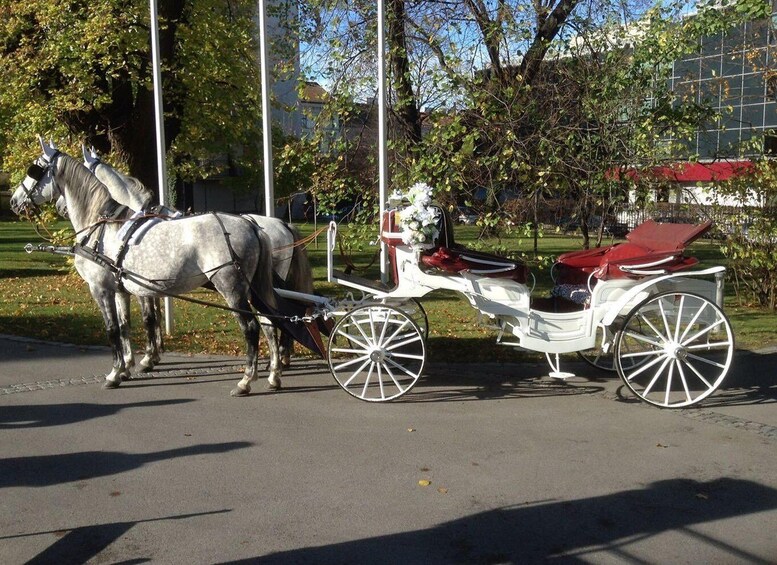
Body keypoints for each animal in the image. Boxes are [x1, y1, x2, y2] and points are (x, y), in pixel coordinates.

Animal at [9, 139, 292, 394]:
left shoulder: (102, 289)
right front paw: (129, 367)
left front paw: (117, 373)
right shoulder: (125, 288)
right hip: (253, 289)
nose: (13, 200)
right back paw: (274, 375)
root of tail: (251, 225)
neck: (101, 224)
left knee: (252, 328)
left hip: (231, 288)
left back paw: (246, 380)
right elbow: (127, 325)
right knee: (270, 323)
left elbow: (115, 329)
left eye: (35, 168)